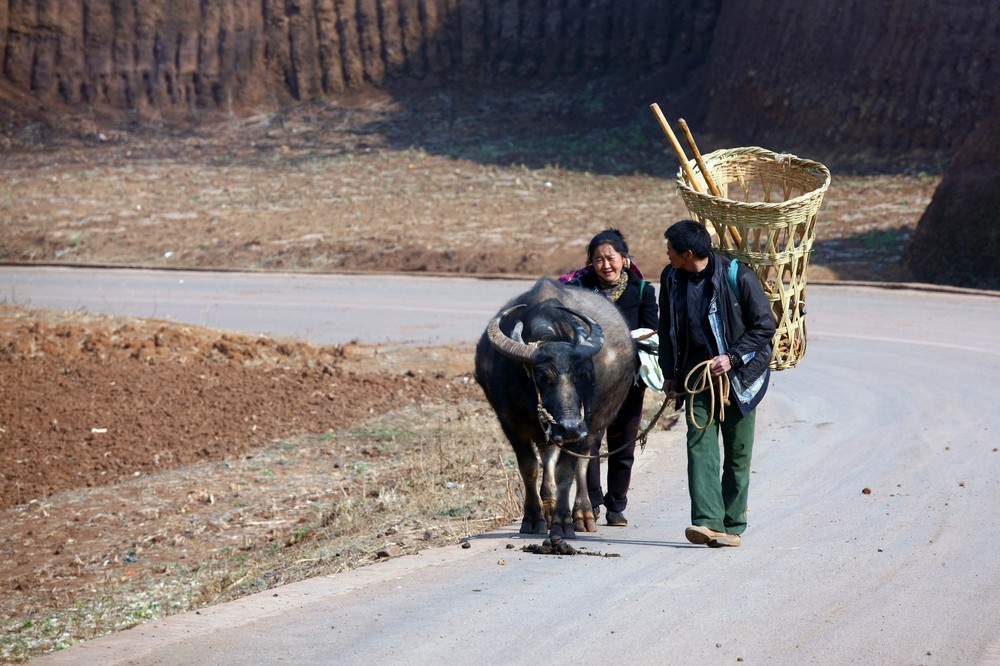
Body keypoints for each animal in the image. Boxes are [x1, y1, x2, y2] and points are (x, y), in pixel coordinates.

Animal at [474, 276, 632, 540]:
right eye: (543, 376)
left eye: (582, 375)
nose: (569, 427)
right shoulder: (511, 424)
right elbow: (529, 468)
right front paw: (533, 520)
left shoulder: (583, 424)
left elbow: (566, 473)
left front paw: (562, 523)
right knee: (547, 456)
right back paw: (548, 506)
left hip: (596, 425)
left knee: (583, 464)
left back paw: (583, 515)